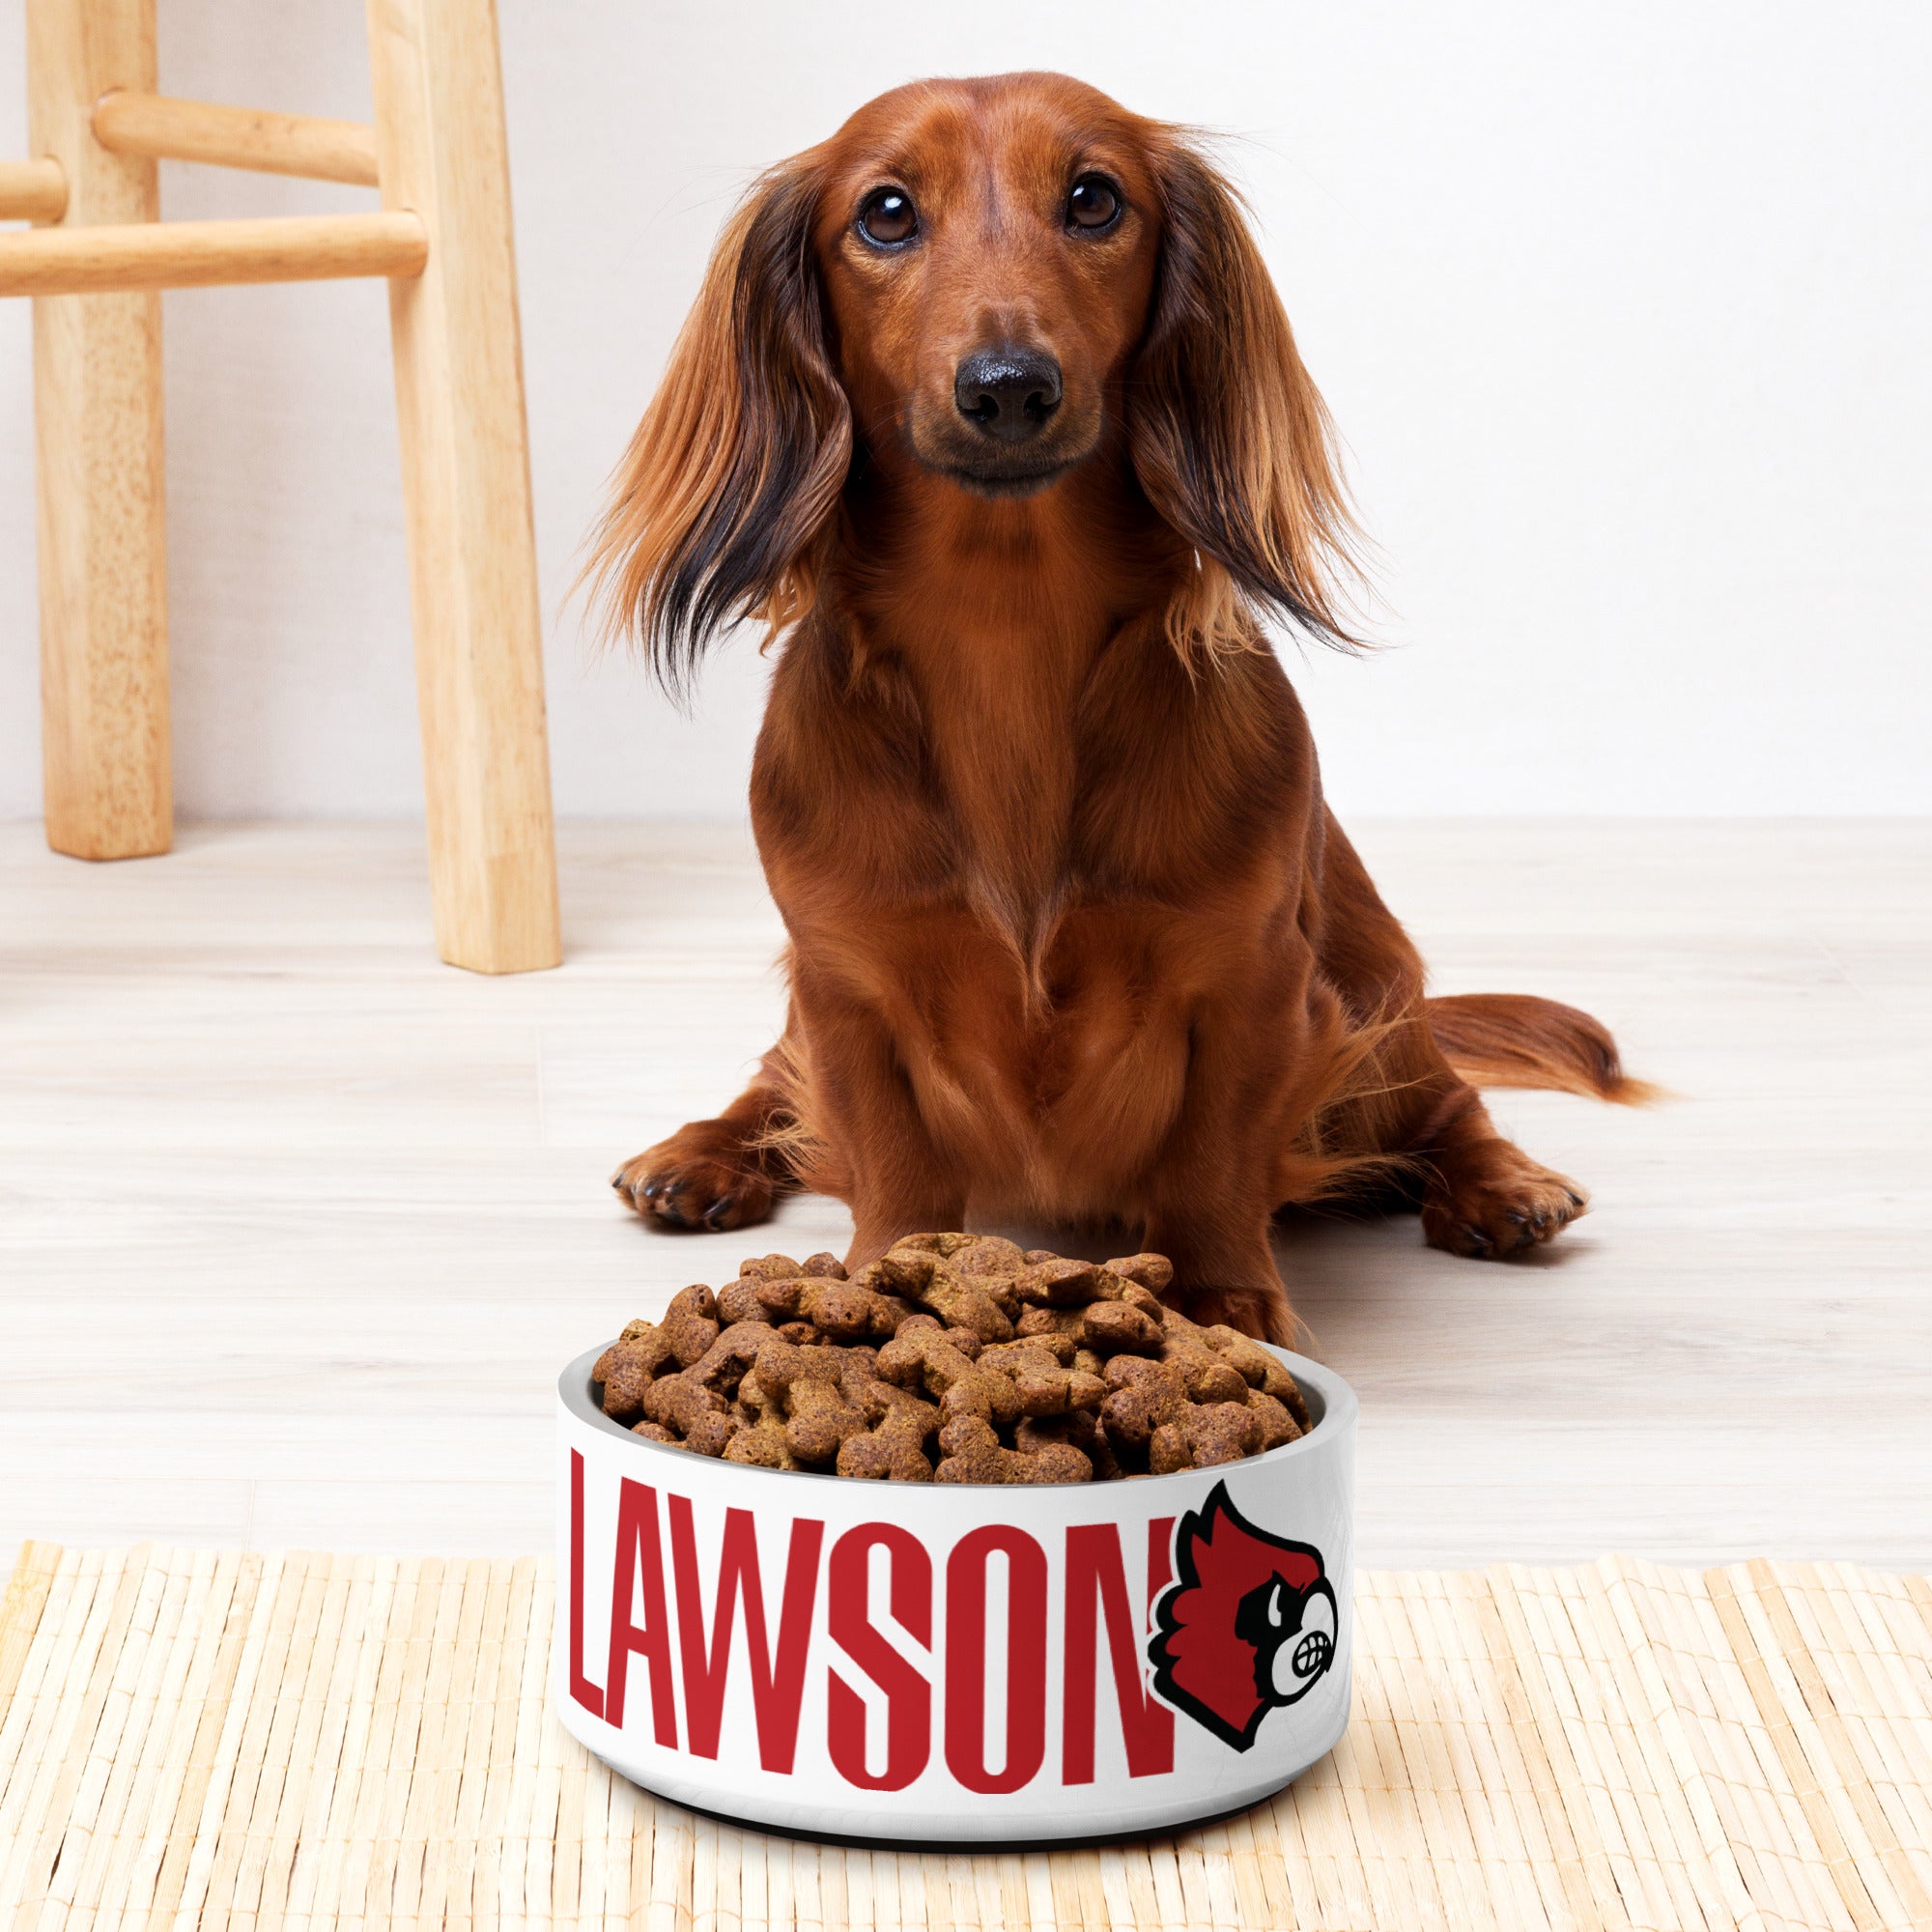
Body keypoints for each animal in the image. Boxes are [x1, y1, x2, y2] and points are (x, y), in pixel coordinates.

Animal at [591, 75, 1646, 1345]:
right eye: (884, 212)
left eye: (1093, 198)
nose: (1007, 387)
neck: (1005, 633)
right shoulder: (845, 983)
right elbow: (888, 1157)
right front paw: (884, 1283)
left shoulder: (1251, 980)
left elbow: (1211, 1160)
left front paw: (1226, 1298)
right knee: (770, 1084)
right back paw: (698, 1154)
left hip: (1375, 998)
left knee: (1445, 1101)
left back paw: (1501, 1184)